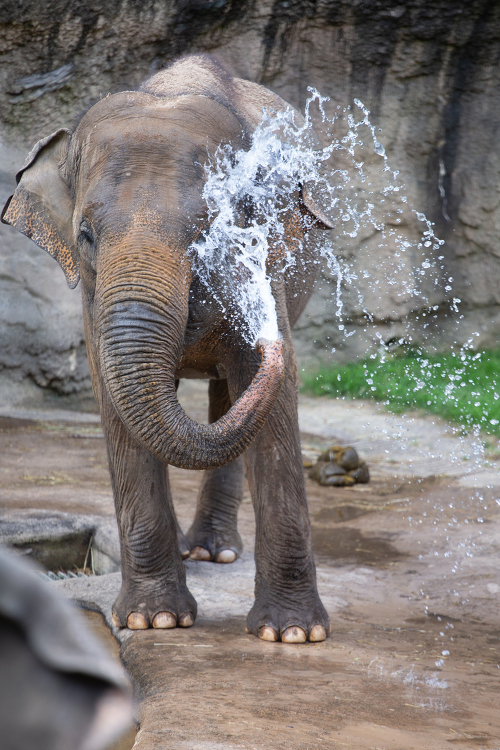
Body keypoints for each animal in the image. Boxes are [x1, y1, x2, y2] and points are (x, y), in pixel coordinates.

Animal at [3, 54, 334, 648]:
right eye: (85, 234)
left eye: (207, 229)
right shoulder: (94, 299)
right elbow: (112, 395)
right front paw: (152, 621)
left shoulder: (267, 267)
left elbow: (271, 390)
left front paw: (292, 635)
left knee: (228, 394)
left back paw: (212, 552)